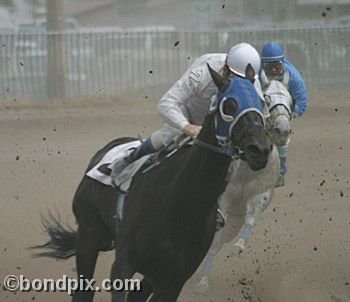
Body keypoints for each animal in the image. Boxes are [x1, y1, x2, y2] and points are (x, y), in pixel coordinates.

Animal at [32, 65, 270, 300]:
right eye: (229, 105)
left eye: (260, 103)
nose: (260, 150)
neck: (182, 207)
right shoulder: (123, 264)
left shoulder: (172, 280)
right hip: (89, 230)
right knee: (84, 289)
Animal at [197, 80, 292, 292]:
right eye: (266, 98)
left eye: (291, 99)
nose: (282, 131)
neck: (246, 169)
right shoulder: (222, 201)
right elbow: (213, 241)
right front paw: (202, 283)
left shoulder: (260, 195)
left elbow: (251, 219)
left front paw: (238, 247)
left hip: (234, 222)